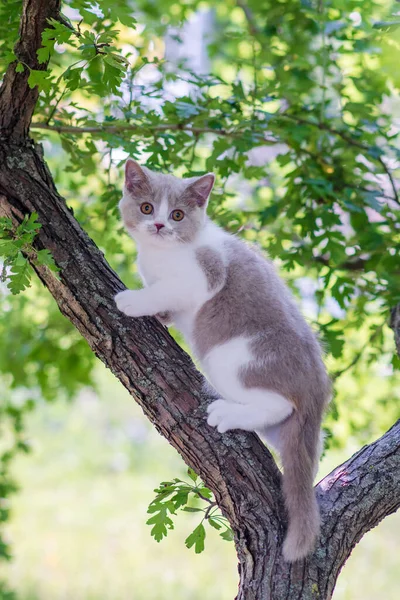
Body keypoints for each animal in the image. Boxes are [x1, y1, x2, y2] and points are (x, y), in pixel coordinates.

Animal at [115, 159, 332, 564]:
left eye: (178, 214)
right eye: (147, 208)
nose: (159, 225)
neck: (161, 254)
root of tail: (319, 389)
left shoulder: (204, 275)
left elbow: (166, 289)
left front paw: (134, 300)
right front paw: (159, 312)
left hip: (231, 355)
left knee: (277, 403)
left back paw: (225, 412)